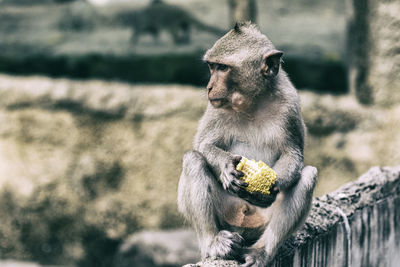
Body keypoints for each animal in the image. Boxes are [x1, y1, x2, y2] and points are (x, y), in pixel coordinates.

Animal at [177, 23, 318, 267]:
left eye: (223, 68)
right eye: (212, 67)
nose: (209, 87)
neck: (252, 103)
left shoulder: (289, 105)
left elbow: (292, 154)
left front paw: (271, 184)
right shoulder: (215, 106)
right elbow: (203, 145)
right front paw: (226, 166)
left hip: (261, 222)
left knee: (308, 176)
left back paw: (261, 251)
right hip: (226, 214)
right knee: (193, 159)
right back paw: (214, 242)